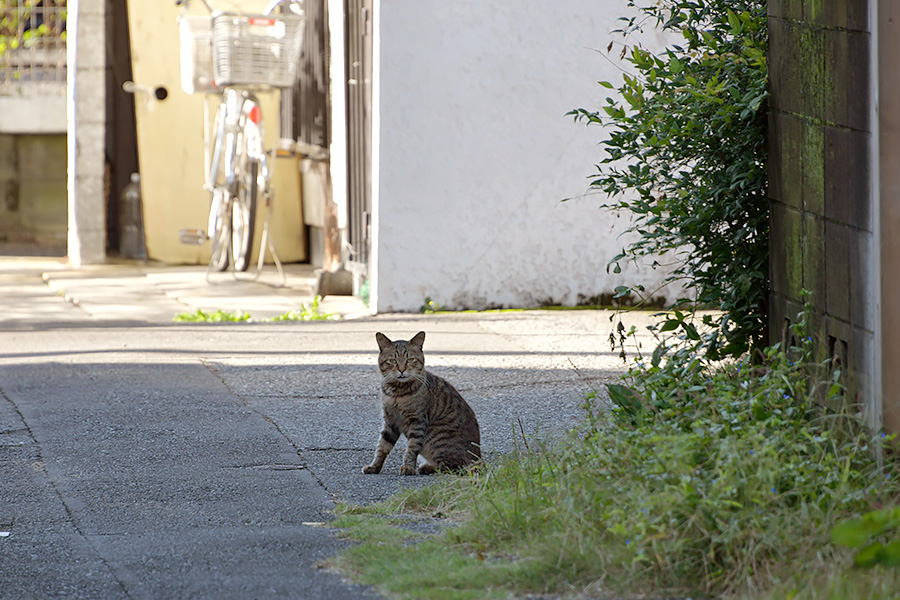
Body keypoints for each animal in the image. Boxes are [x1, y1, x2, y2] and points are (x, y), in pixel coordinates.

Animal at [362, 330, 482, 476]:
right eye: (392, 361)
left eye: (410, 360)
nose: (401, 370)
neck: (397, 393)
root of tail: (479, 457)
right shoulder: (390, 421)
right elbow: (382, 447)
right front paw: (375, 466)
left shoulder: (417, 421)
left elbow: (412, 448)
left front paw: (408, 467)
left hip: (436, 438)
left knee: (454, 467)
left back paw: (427, 467)